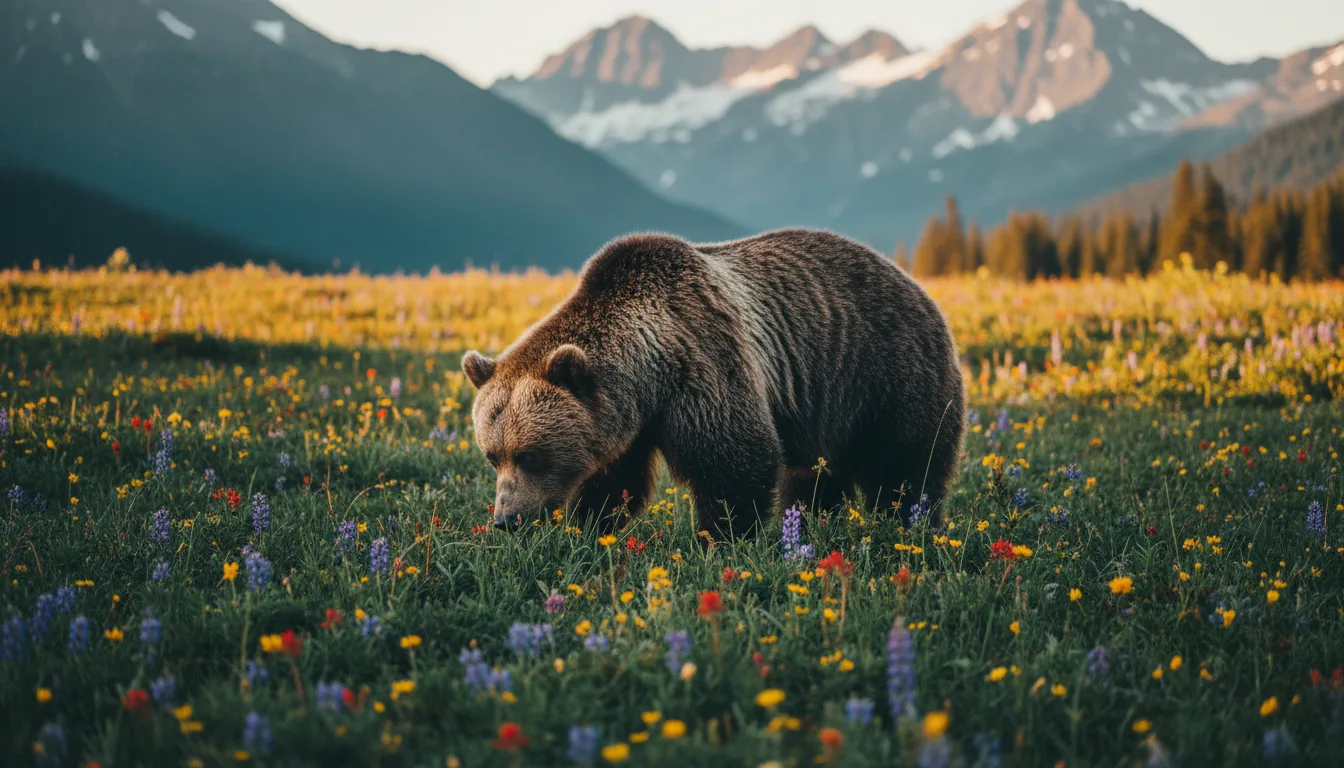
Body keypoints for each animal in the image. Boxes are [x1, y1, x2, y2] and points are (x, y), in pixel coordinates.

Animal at [460, 227, 966, 540]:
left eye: (529, 454)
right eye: (492, 456)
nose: (506, 518)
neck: (649, 374)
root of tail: (917, 285)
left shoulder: (703, 364)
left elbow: (735, 460)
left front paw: (722, 539)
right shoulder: (624, 424)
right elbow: (615, 480)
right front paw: (590, 528)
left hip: (887, 375)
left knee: (906, 467)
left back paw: (910, 526)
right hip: (828, 410)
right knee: (814, 477)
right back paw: (812, 522)